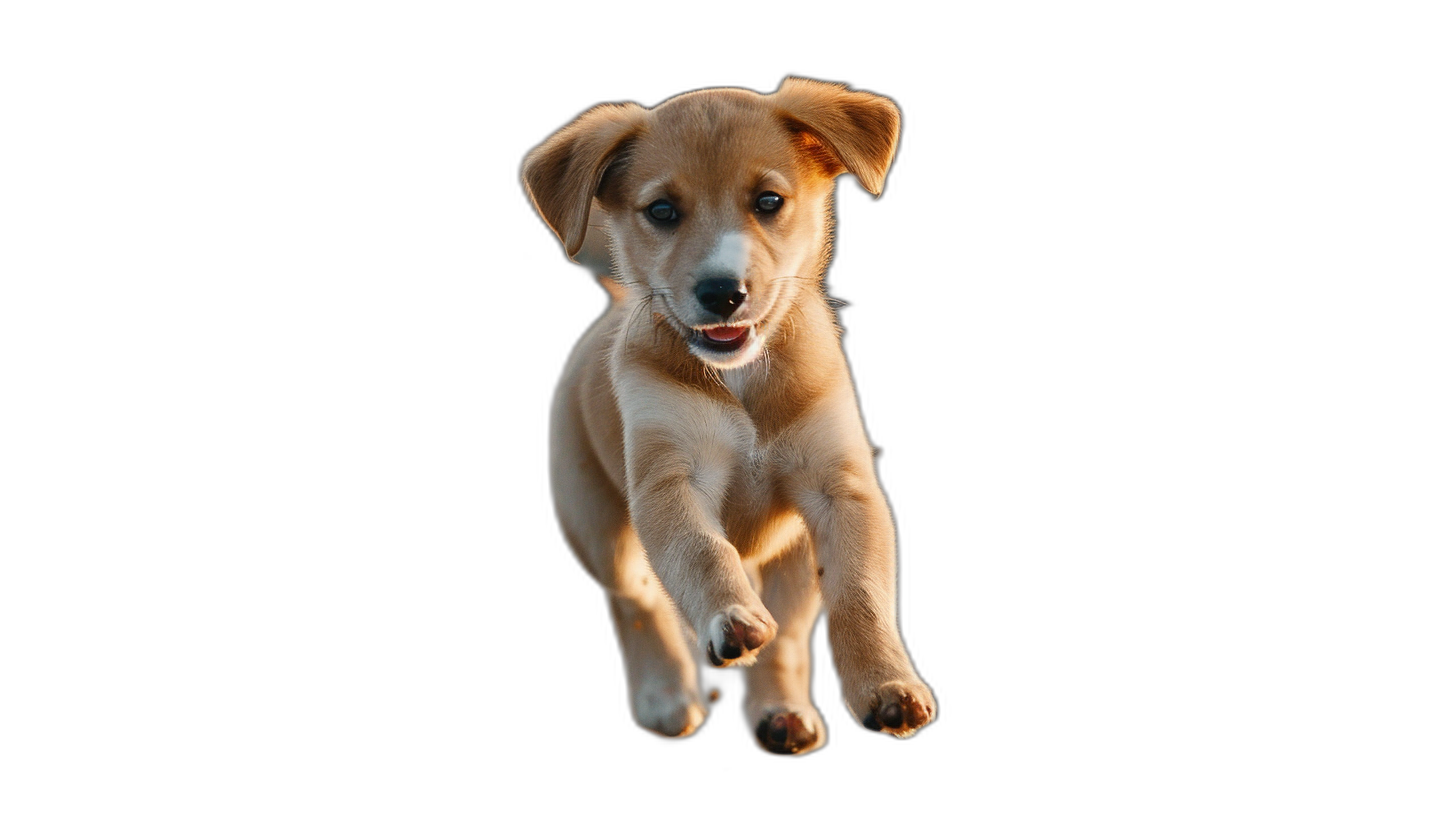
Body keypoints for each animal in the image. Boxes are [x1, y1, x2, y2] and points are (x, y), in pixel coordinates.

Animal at [521, 79, 931, 757]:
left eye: (769, 201)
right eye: (662, 211)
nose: (722, 293)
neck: (742, 383)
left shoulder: (841, 489)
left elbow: (862, 594)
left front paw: (887, 685)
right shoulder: (670, 481)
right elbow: (701, 551)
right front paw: (728, 615)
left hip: (792, 560)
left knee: (787, 637)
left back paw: (781, 712)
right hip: (601, 529)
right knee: (635, 604)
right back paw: (666, 697)